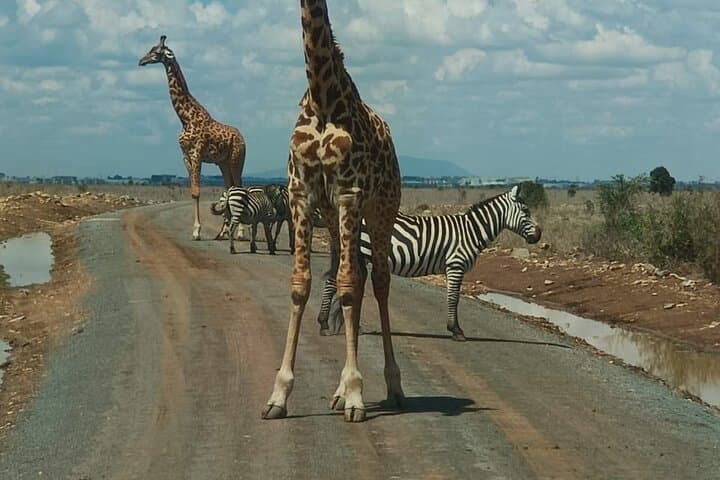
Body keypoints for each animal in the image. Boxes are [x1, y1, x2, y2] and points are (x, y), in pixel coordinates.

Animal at [139, 35, 246, 240]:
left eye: (156, 52)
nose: (141, 61)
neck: (185, 118)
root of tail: (243, 138)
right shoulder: (185, 156)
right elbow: (192, 192)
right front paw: (196, 230)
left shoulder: (197, 153)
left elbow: (197, 192)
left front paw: (196, 231)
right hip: (223, 163)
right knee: (228, 188)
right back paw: (223, 232)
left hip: (237, 160)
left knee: (238, 187)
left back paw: (240, 232)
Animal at [262, 0, 404, 423]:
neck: (323, 97)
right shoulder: (303, 195)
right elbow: (302, 285)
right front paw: (279, 394)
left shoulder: (349, 193)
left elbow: (347, 285)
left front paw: (357, 393)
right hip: (336, 216)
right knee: (355, 272)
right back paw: (340, 392)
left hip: (380, 209)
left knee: (378, 280)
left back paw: (392, 386)